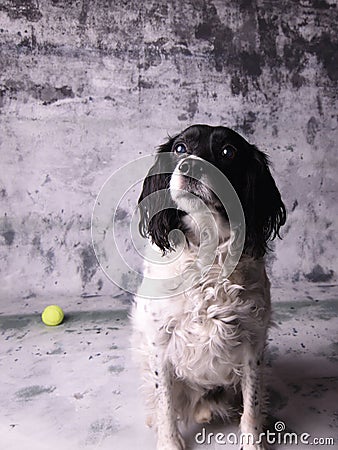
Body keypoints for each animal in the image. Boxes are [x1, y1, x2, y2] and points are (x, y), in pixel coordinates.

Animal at [131, 124, 286, 450]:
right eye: (179, 148)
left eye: (228, 151)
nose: (189, 166)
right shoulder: (159, 341)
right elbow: (165, 403)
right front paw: (169, 443)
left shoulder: (253, 341)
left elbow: (252, 403)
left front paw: (254, 442)